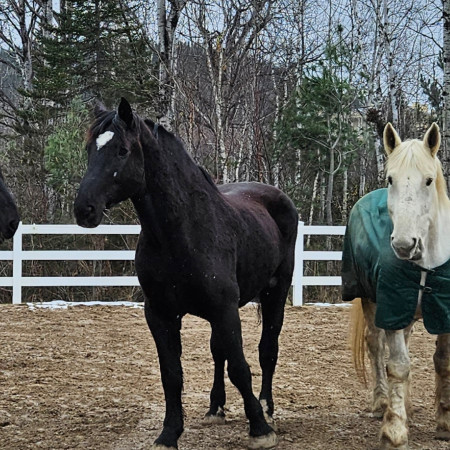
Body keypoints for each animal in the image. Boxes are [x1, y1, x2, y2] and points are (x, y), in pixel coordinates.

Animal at [74, 99, 298, 450]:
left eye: (122, 150)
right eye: (89, 150)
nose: (84, 209)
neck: (182, 232)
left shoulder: (225, 309)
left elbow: (240, 368)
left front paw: (260, 429)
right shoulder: (161, 314)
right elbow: (172, 374)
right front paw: (169, 434)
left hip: (275, 291)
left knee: (267, 349)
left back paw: (266, 408)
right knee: (218, 352)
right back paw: (215, 408)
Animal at [348, 121, 450, 448]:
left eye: (428, 181)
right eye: (390, 178)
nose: (404, 245)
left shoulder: (443, 311)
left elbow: (442, 361)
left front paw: (444, 422)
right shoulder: (391, 308)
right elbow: (397, 366)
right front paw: (394, 430)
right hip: (371, 301)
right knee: (375, 345)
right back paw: (382, 402)